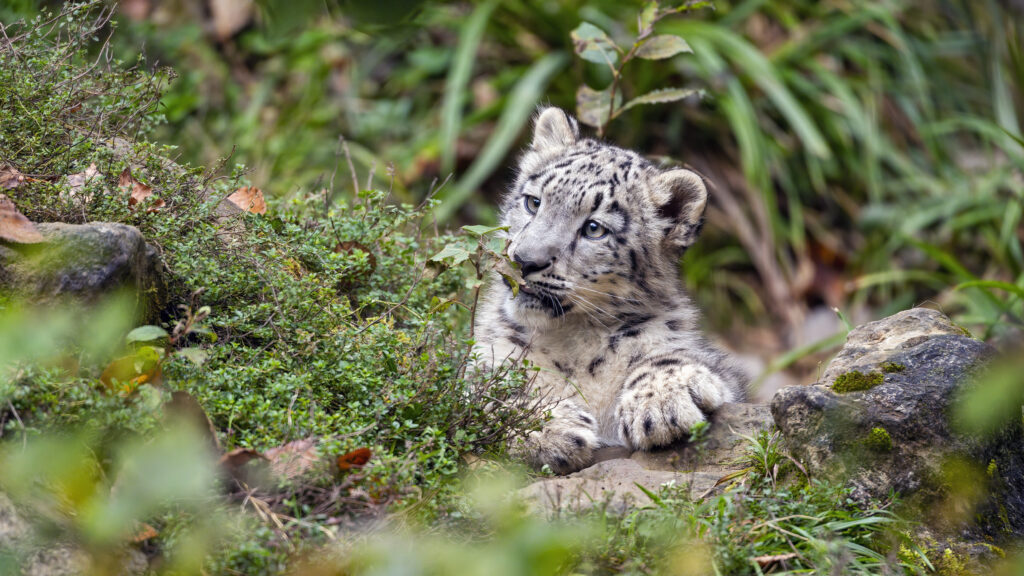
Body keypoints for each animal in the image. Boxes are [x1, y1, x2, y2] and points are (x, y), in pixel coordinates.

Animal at [472, 107, 748, 475]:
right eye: (533, 202)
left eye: (594, 229)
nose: (525, 260)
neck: (572, 341)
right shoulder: (481, 360)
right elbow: (489, 389)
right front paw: (552, 428)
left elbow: (674, 357)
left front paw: (663, 401)